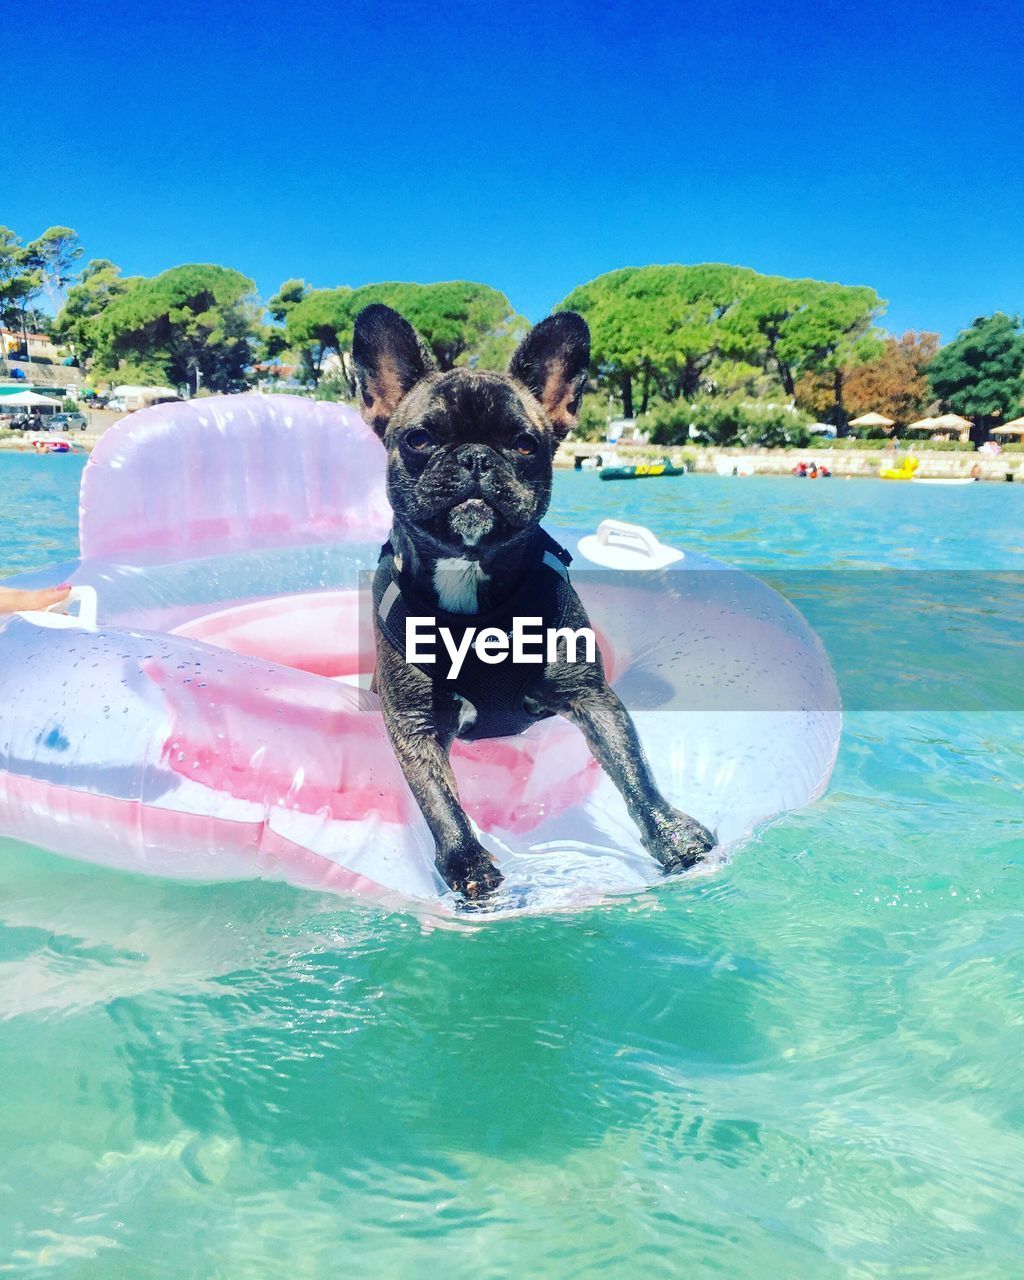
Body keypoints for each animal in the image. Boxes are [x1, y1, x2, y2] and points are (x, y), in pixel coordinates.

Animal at [355, 302, 716, 901]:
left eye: (525, 444)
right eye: (421, 439)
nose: (476, 458)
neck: (471, 582)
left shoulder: (591, 696)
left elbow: (632, 767)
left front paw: (670, 833)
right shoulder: (415, 722)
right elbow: (439, 799)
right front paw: (468, 865)